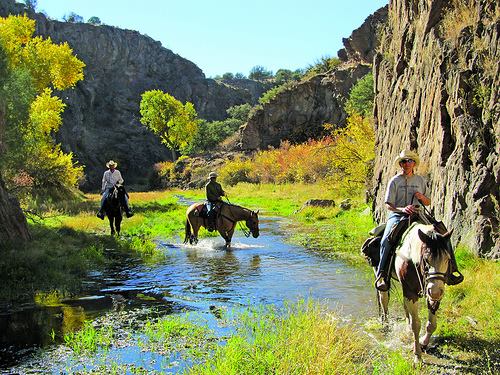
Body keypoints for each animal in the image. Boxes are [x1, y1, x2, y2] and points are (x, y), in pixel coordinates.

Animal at [376, 223, 454, 364]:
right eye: (426, 259)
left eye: (448, 259)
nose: (435, 292)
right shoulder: (411, 292)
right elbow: (416, 325)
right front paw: (417, 355)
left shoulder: (432, 292)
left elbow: (431, 324)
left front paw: (424, 343)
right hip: (381, 276)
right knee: (383, 298)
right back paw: (386, 324)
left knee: (404, 307)